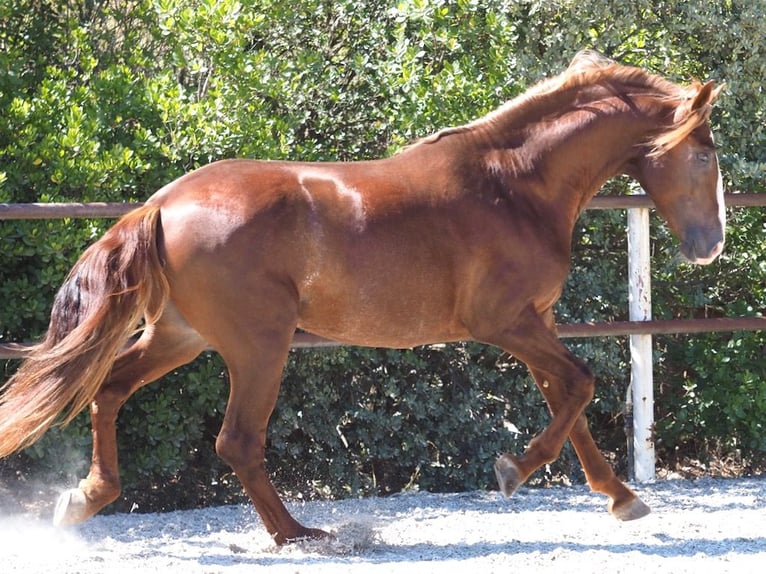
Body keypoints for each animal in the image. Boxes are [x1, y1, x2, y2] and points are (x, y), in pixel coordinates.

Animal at [0, 51, 728, 548]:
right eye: (704, 153)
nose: (711, 246)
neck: (512, 185)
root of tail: (160, 204)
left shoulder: (536, 321)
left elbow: (568, 402)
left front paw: (621, 498)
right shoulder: (502, 322)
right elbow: (579, 384)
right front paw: (512, 471)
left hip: (182, 336)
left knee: (109, 389)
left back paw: (85, 498)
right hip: (257, 346)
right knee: (238, 441)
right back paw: (300, 535)